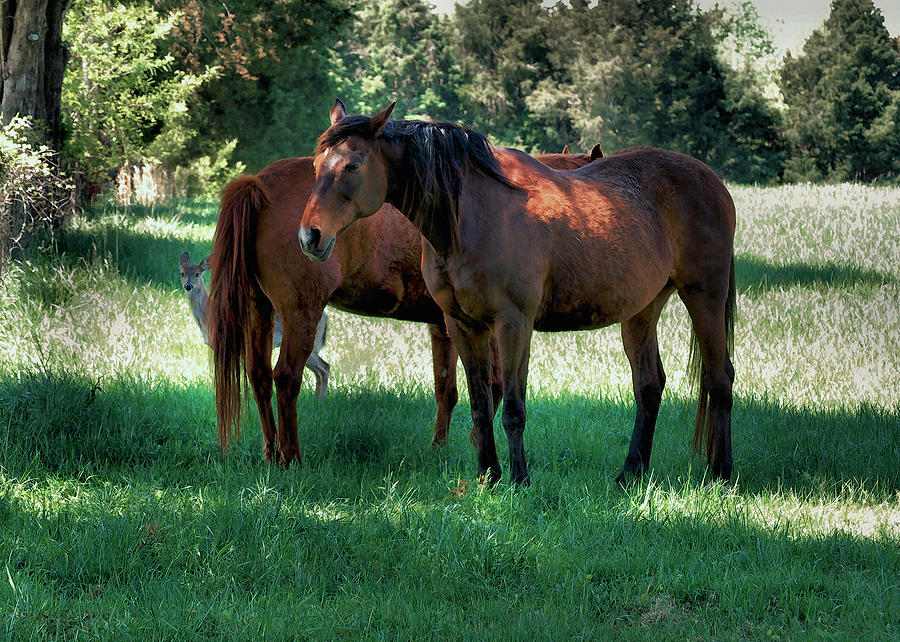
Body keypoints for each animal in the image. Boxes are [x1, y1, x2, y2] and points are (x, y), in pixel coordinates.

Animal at [207, 149, 596, 460]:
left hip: (260, 310)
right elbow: (488, 385)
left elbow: (448, 389)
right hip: (300, 314)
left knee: (258, 376)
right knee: (285, 378)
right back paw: (291, 458)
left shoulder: (449, 326)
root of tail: (260, 182)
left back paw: (270, 452)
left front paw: (442, 445)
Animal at [298, 100, 736, 482]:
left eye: (353, 164)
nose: (310, 236)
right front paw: (488, 476)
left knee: (719, 378)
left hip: (704, 295)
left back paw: (721, 473)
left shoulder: (513, 324)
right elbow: (479, 405)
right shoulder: (463, 325)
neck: (470, 214)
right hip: (642, 310)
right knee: (648, 385)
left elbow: (511, 407)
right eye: (316, 165)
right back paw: (630, 473)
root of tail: (713, 180)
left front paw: (520, 479)